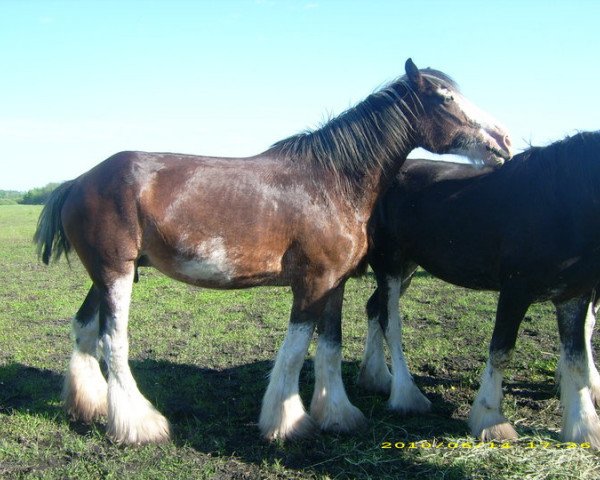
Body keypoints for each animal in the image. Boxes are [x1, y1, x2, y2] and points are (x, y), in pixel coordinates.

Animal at [32, 58, 510, 444]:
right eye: (445, 97)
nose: (503, 141)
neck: (331, 182)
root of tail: (79, 181)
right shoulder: (312, 283)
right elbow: (296, 351)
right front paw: (288, 423)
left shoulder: (334, 284)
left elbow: (330, 347)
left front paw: (338, 415)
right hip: (116, 273)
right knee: (113, 340)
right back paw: (140, 425)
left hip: (110, 273)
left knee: (84, 329)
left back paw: (88, 406)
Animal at [358, 129, 600, 448]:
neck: (563, 201)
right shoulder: (515, 291)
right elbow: (501, 351)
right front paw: (491, 419)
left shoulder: (575, 295)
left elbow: (577, 359)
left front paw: (584, 426)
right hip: (389, 265)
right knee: (390, 323)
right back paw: (405, 395)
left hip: (407, 267)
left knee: (374, 308)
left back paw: (375, 378)